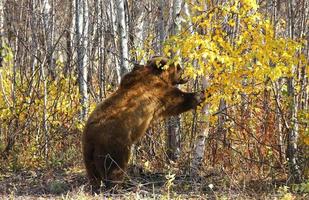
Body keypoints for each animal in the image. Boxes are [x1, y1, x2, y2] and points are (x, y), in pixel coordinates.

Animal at [82, 55, 205, 189]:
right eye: (178, 66)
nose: (187, 72)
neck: (159, 75)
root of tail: (91, 138)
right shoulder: (158, 91)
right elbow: (178, 101)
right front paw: (201, 94)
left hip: (87, 154)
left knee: (93, 174)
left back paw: (96, 186)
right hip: (115, 144)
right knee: (115, 167)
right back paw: (118, 186)